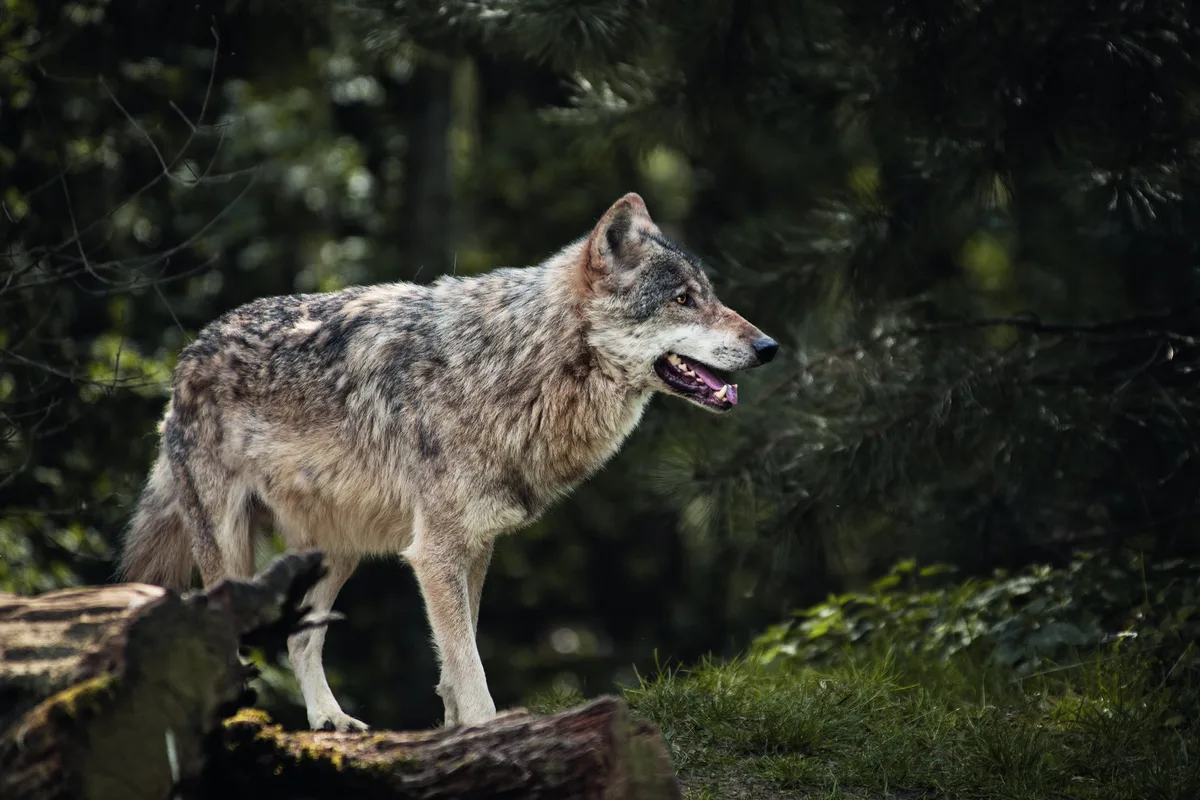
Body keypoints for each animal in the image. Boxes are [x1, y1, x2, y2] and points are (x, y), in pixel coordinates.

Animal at [118, 193, 778, 732]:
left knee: (301, 642)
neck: (516, 365)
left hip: (339, 550)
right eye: (683, 300)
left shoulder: (475, 546)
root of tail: (184, 362)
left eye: (709, 296)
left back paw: (330, 720)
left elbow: (456, 669)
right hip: (232, 552)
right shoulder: (434, 553)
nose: (769, 347)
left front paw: (458, 735)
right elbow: (471, 671)